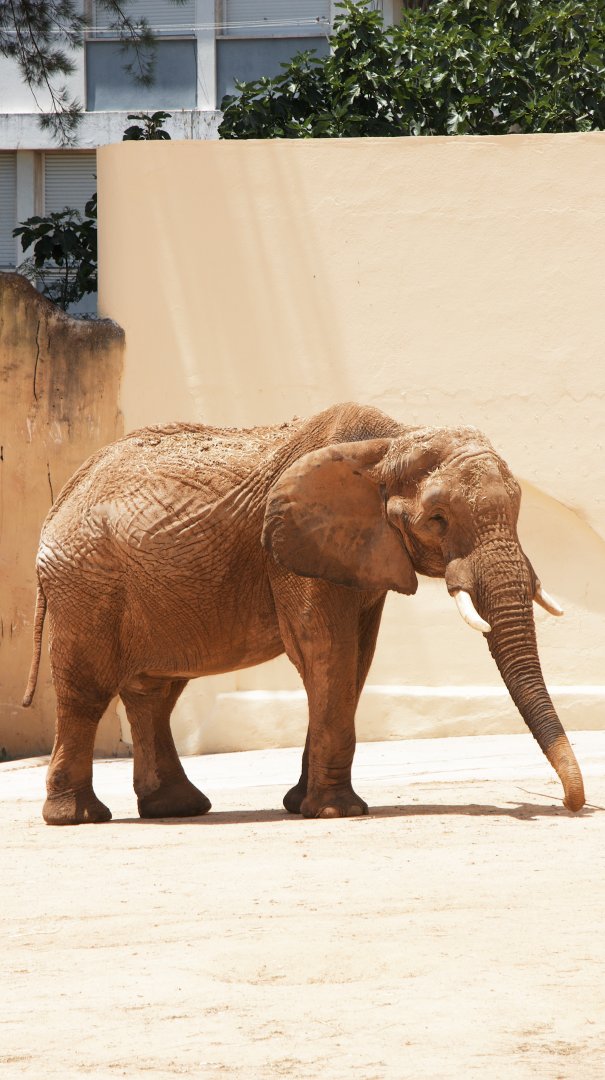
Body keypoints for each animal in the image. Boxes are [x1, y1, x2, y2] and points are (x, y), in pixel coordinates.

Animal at [23, 402, 585, 824]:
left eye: (518, 510)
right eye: (438, 519)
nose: (571, 804)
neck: (392, 442)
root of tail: (62, 498)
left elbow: (355, 661)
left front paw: (301, 805)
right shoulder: (292, 550)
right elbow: (326, 652)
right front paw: (338, 812)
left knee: (154, 692)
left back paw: (177, 809)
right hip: (86, 582)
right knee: (87, 689)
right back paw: (78, 818)